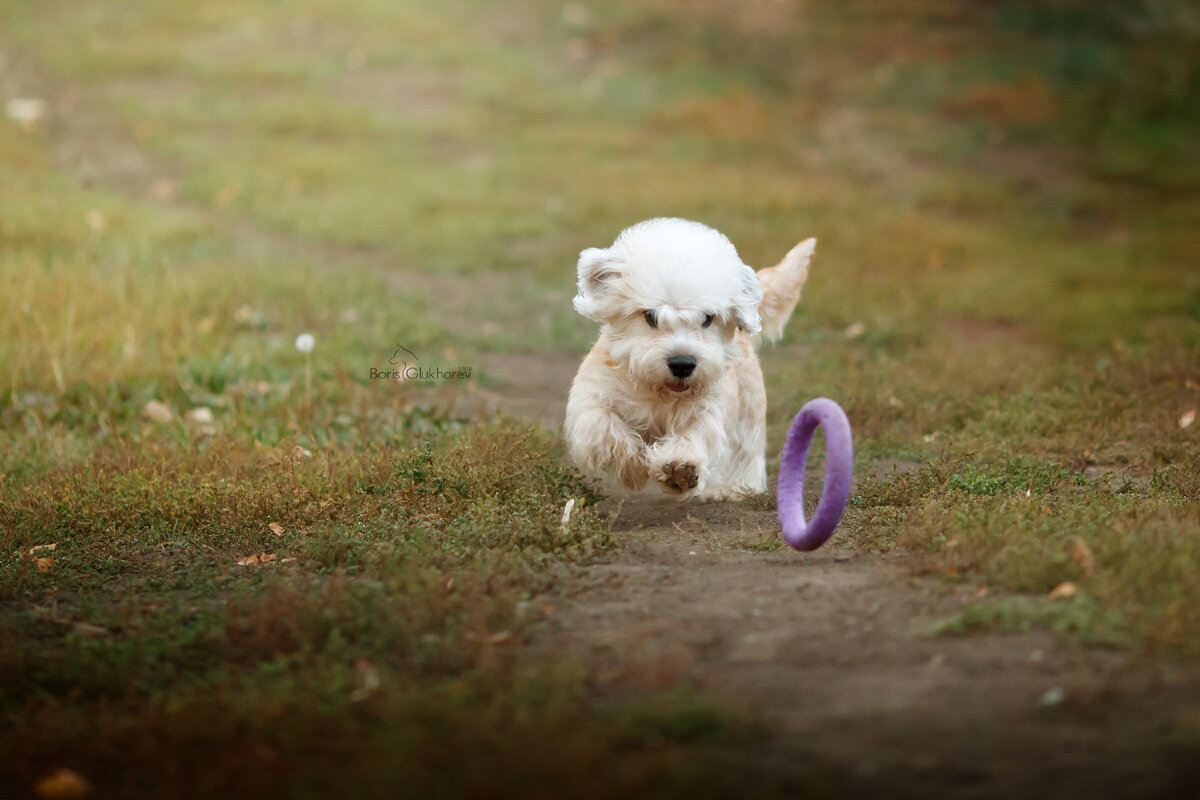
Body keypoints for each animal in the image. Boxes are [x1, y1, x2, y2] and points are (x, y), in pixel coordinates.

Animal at [564, 215, 816, 496]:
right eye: (650, 315)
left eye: (707, 317)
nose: (682, 364)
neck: (657, 394)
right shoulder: (591, 397)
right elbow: (603, 428)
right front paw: (633, 468)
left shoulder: (708, 408)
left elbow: (695, 433)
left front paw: (679, 469)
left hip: (750, 410)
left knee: (746, 450)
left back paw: (735, 486)